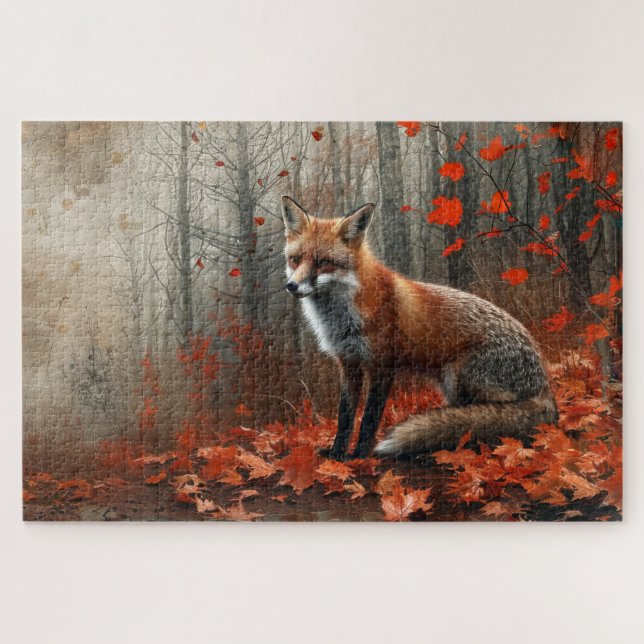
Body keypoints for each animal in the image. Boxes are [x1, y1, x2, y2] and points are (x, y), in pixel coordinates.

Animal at [281, 195, 558, 460]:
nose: (291, 286)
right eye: (295, 260)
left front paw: (359, 455)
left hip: (460, 378)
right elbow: (345, 417)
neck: (343, 315)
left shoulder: (382, 366)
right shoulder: (349, 364)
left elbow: (369, 418)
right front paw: (337, 453)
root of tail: (543, 383)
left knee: (491, 414)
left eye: (323, 262)